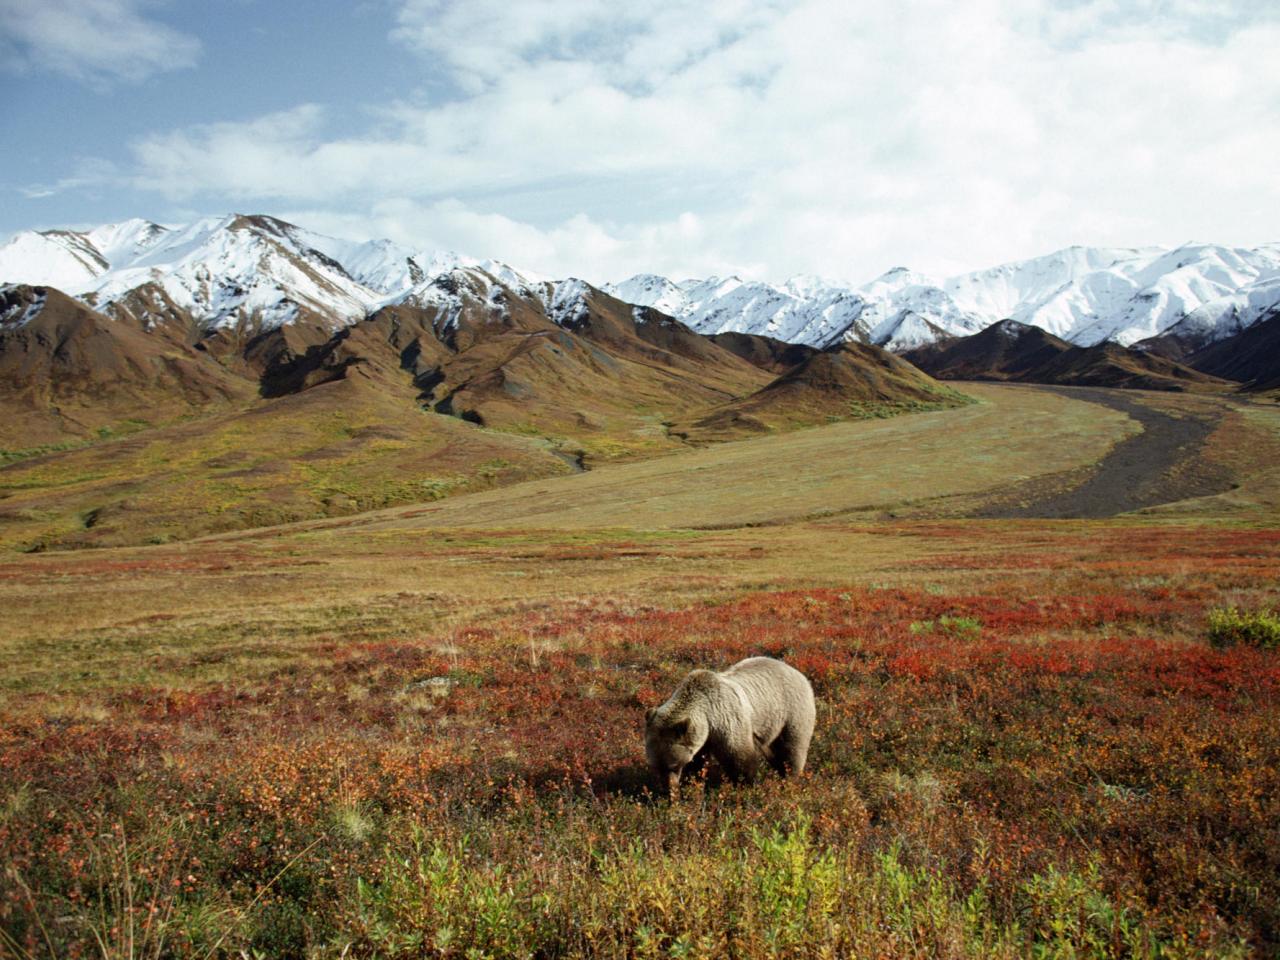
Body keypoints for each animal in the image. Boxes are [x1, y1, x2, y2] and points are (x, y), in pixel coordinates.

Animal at [645, 660, 814, 798]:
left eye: (673, 765)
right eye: (655, 766)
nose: (668, 791)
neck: (708, 718)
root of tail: (798, 672)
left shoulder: (727, 720)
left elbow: (740, 759)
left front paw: (747, 786)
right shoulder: (702, 738)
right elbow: (697, 763)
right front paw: (691, 786)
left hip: (792, 712)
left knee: (792, 749)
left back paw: (790, 779)